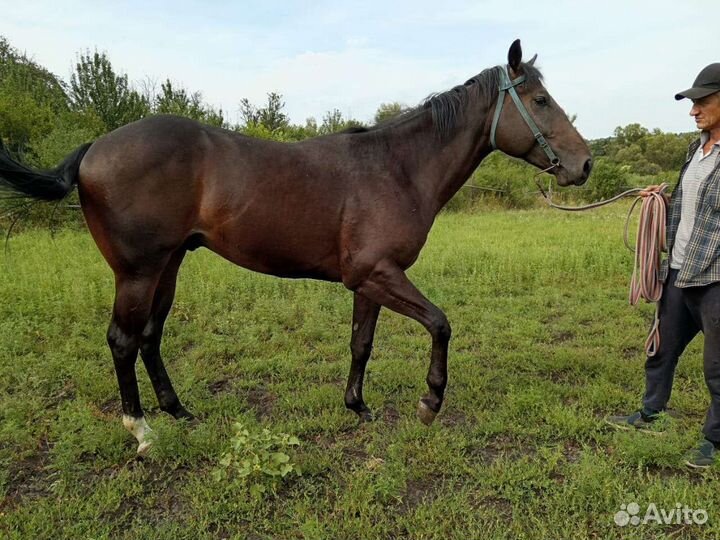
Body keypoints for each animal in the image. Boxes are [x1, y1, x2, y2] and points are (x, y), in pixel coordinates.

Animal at [0, 40, 592, 454]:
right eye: (540, 99)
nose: (584, 163)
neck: (397, 168)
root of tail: (95, 147)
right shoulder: (380, 274)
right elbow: (441, 324)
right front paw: (429, 402)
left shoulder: (370, 280)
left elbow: (361, 344)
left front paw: (357, 406)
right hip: (137, 272)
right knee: (123, 341)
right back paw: (142, 431)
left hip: (168, 266)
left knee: (148, 336)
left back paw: (179, 411)